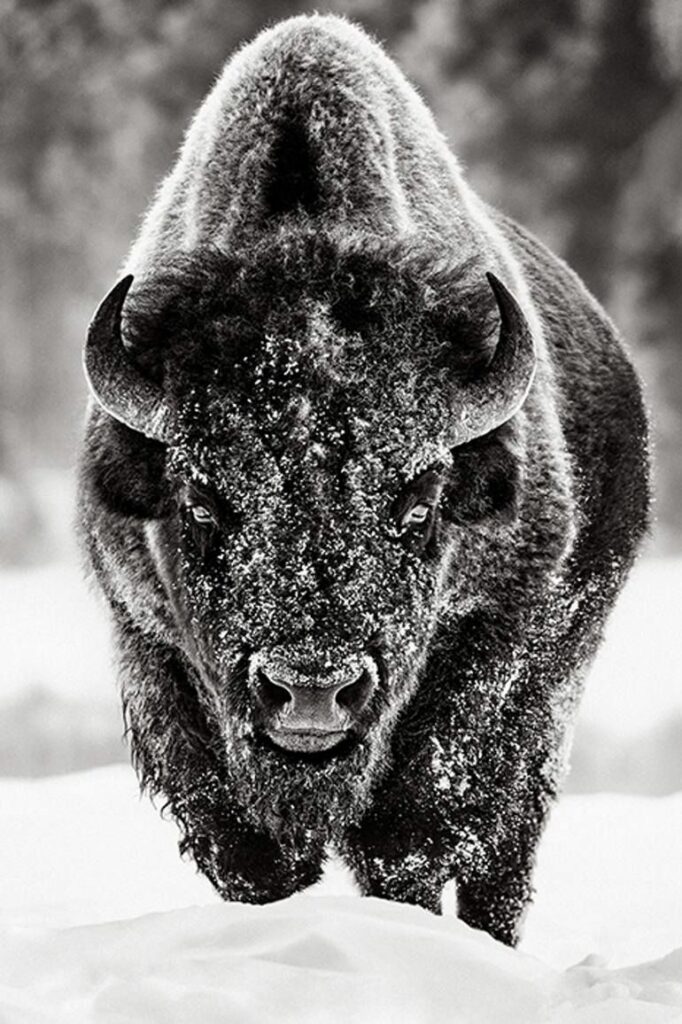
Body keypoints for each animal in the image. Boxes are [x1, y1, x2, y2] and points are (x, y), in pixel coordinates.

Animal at [78, 15, 650, 945]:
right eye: (200, 500)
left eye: (418, 502)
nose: (313, 690)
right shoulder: (148, 639)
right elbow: (244, 848)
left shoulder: (494, 637)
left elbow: (410, 834)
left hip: (553, 702)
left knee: (501, 860)